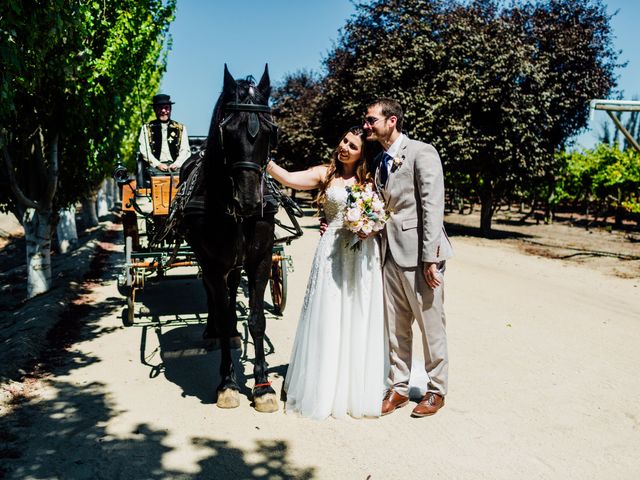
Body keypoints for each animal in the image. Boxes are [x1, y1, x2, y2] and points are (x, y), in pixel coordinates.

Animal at [181, 64, 278, 412]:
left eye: (270, 131)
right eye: (228, 131)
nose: (249, 201)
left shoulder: (260, 258)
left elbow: (258, 319)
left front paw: (263, 385)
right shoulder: (211, 261)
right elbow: (222, 310)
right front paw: (228, 382)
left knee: (232, 288)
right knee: (214, 295)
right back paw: (213, 329)